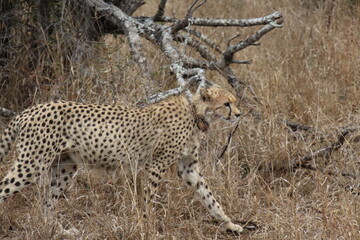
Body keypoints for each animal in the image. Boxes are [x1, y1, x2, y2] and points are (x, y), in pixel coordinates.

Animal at [0, 80, 242, 232]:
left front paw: (228, 224)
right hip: (31, 164)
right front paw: (147, 225)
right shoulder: (156, 164)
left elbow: (209, 196)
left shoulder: (188, 168)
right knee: (6, 188)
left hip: (64, 167)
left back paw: (59, 231)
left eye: (234, 102)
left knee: (46, 204)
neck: (195, 113)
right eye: (226, 104)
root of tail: (29, 110)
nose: (239, 114)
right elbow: (148, 199)